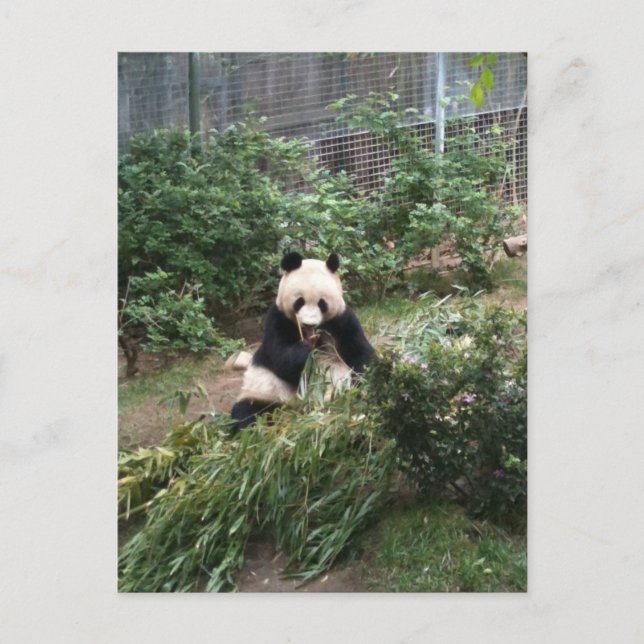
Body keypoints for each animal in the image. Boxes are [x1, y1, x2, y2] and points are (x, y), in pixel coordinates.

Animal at [231, 251, 374, 430]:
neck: (311, 333)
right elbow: (280, 358)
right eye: (299, 301)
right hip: (265, 393)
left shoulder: (342, 320)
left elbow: (359, 352)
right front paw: (304, 352)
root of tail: (297, 411)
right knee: (248, 412)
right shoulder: (277, 320)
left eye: (322, 303)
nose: (308, 324)